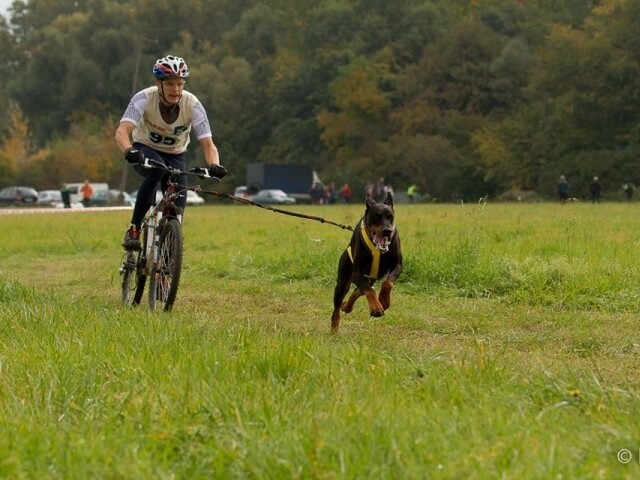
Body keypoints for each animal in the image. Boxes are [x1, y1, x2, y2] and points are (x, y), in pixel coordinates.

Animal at [332, 191, 402, 334]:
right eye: (376, 216)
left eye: (390, 216)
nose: (387, 231)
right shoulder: (357, 273)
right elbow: (369, 291)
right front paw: (376, 308)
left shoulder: (398, 265)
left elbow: (387, 283)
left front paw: (384, 301)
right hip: (343, 281)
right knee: (337, 307)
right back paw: (334, 328)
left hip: (371, 278)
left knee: (359, 290)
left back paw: (347, 306)